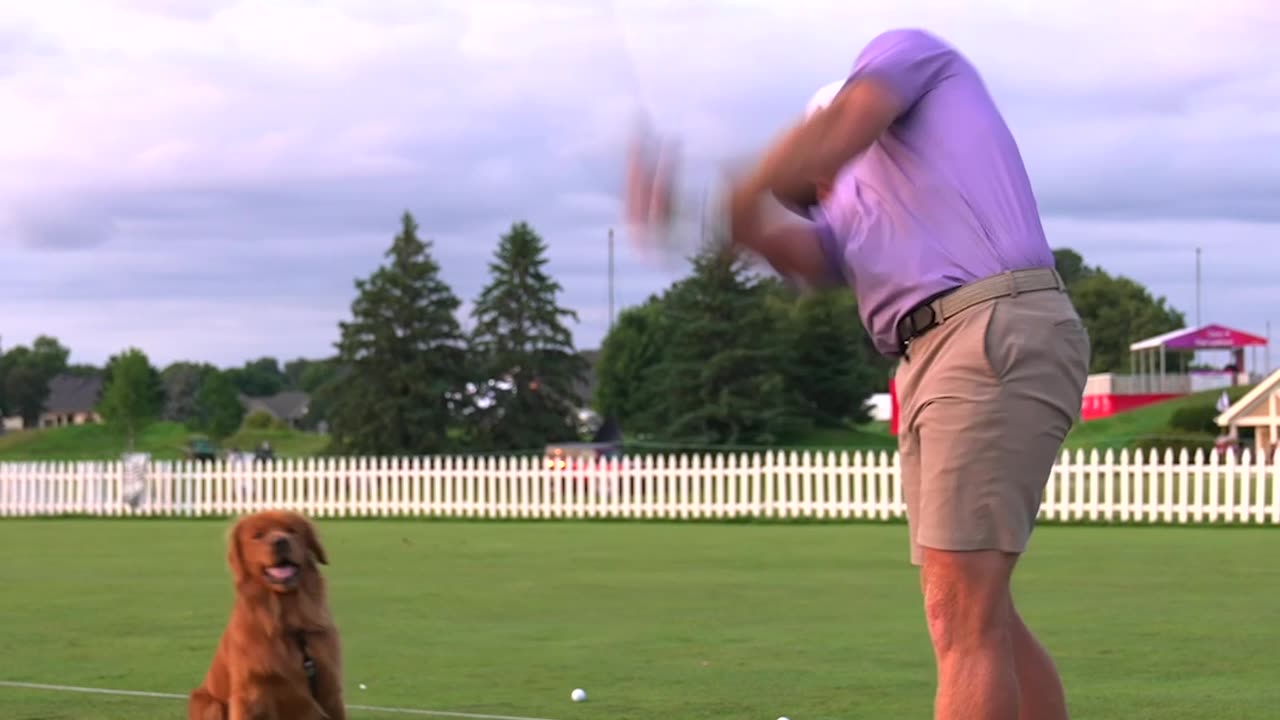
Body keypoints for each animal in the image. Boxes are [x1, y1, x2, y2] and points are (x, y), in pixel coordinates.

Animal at [185, 507, 345, 712]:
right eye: (258, 535)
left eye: (292, 530)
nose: (280, 541)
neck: (286, 620)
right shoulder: (249, 694)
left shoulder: (329, 687)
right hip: (210, 703)